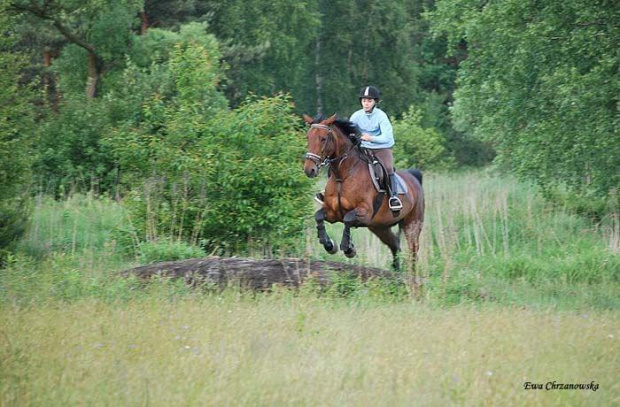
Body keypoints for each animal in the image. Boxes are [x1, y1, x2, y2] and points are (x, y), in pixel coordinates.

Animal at [302, 113, 424, 276]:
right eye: (308, 137)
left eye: (323, 138)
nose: (309, 170)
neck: (343, 175)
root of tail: (414, 178)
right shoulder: (333, 213)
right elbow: (318, 216)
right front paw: (329, 245)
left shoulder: (364, 213)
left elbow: (347, 219)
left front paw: (348, 249)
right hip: (380, 227)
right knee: (395, 245)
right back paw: (396, 270)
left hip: (412, 224)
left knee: (413, 250)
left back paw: (412, 275)